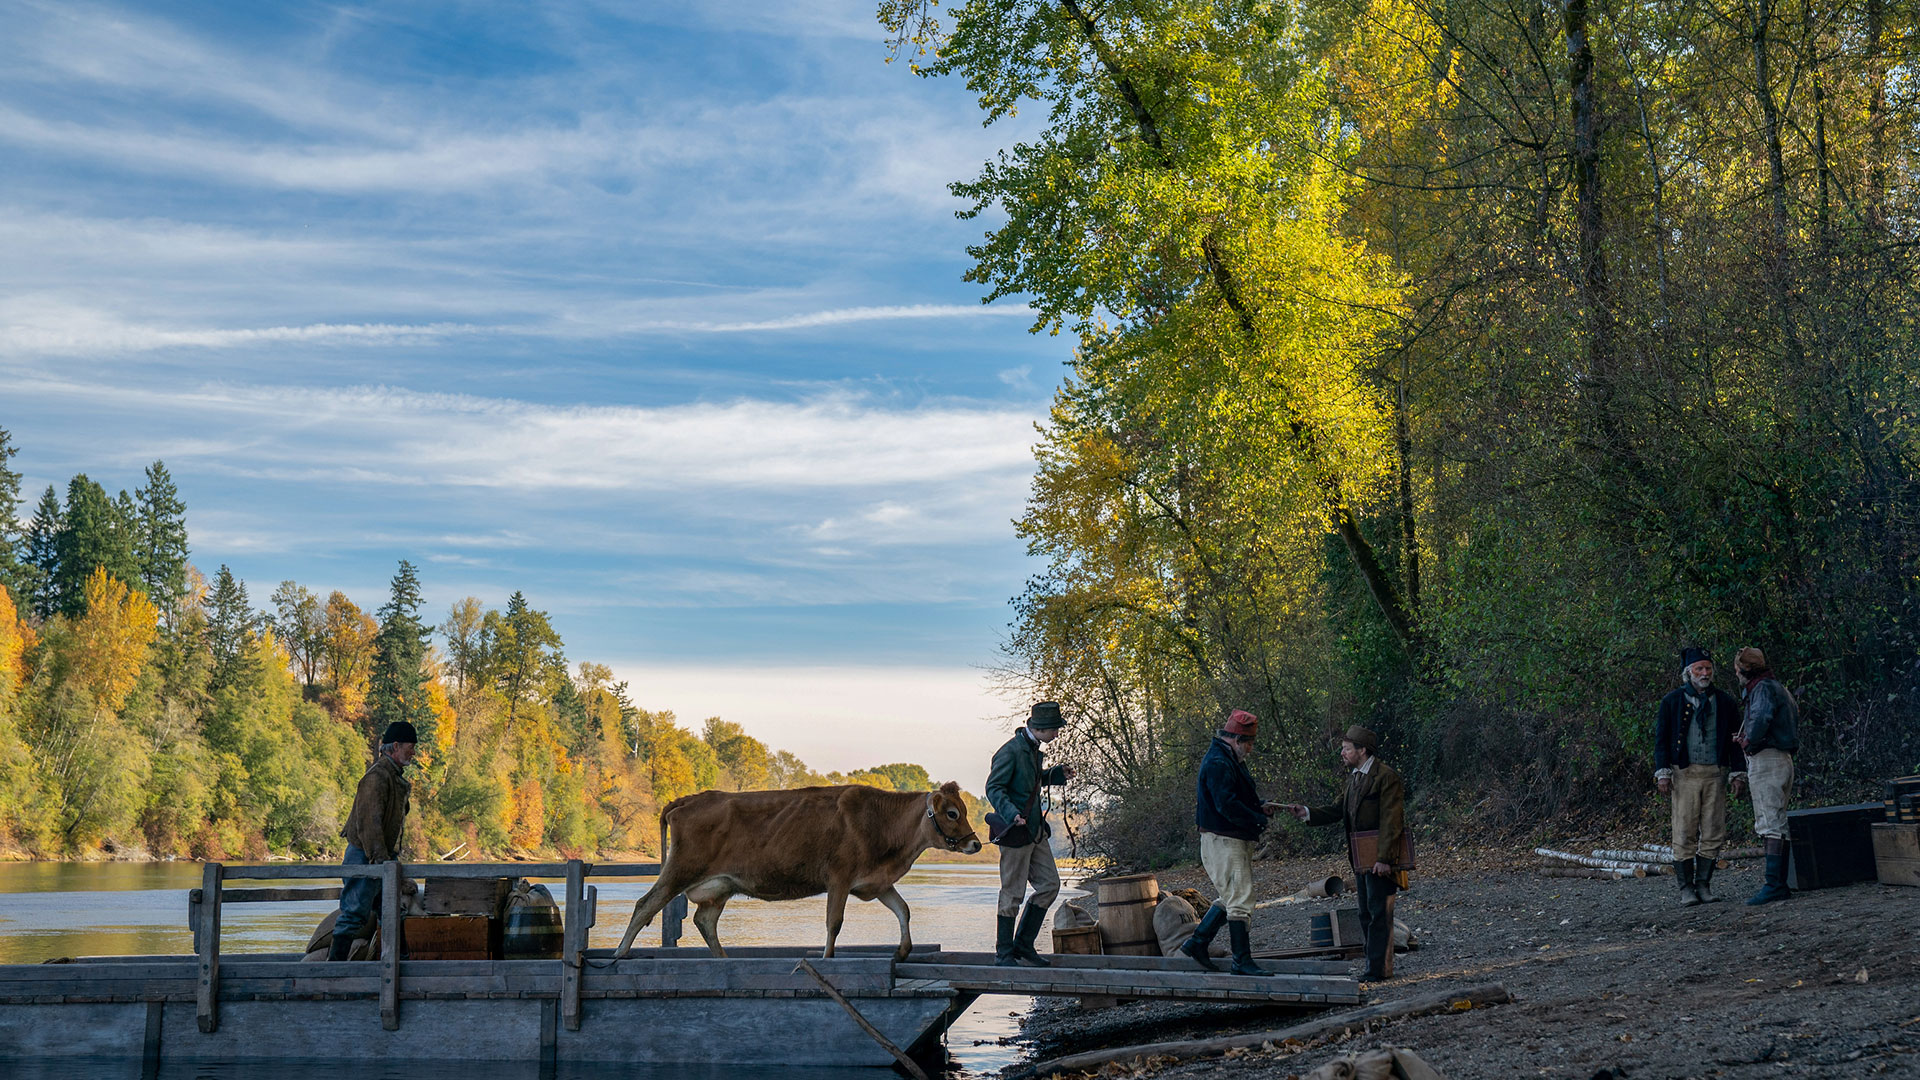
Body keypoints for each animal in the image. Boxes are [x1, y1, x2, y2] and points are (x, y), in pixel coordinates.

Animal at [618, 776, 983, 953]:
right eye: (953, 813)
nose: (976, 843)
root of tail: (688, 799)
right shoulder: (839, 878)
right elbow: (834, 924)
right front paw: (826, 959)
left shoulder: (876, 882)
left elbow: (903, 911)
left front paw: (902, 952)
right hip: (680, 869)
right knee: (645, 905)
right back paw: (620, 954)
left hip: (719, 886)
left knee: (705, 921)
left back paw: (723, 960)